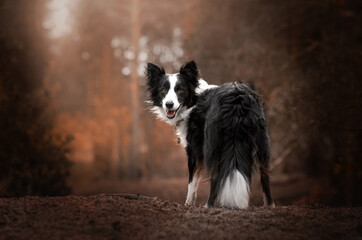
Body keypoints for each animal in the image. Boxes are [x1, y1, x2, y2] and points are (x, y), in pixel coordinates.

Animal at [145, 60, 274, 208]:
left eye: (180, 90)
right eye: (163, 90)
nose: (169, 104)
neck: (194, 101)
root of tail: (237, 98)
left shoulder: (193, 149)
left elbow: (192, 181)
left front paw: (188, 204)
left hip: (212, 142)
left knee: (215, 174)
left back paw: (209, 205)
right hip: (261, 140)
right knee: (264, 173)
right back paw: (269, 205)